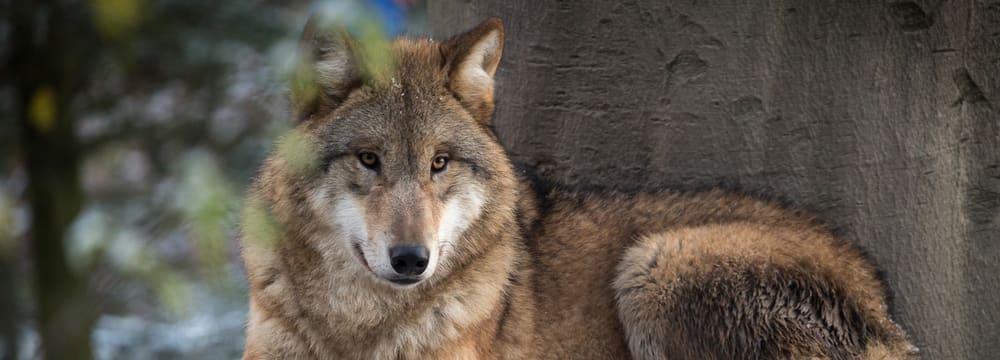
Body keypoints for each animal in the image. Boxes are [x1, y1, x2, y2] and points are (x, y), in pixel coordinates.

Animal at [240, 15, 916, 358]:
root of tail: (886, 311)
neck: (356, 331)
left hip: (657, 263)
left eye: (439, 163)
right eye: (369, 159)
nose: (412, 260)